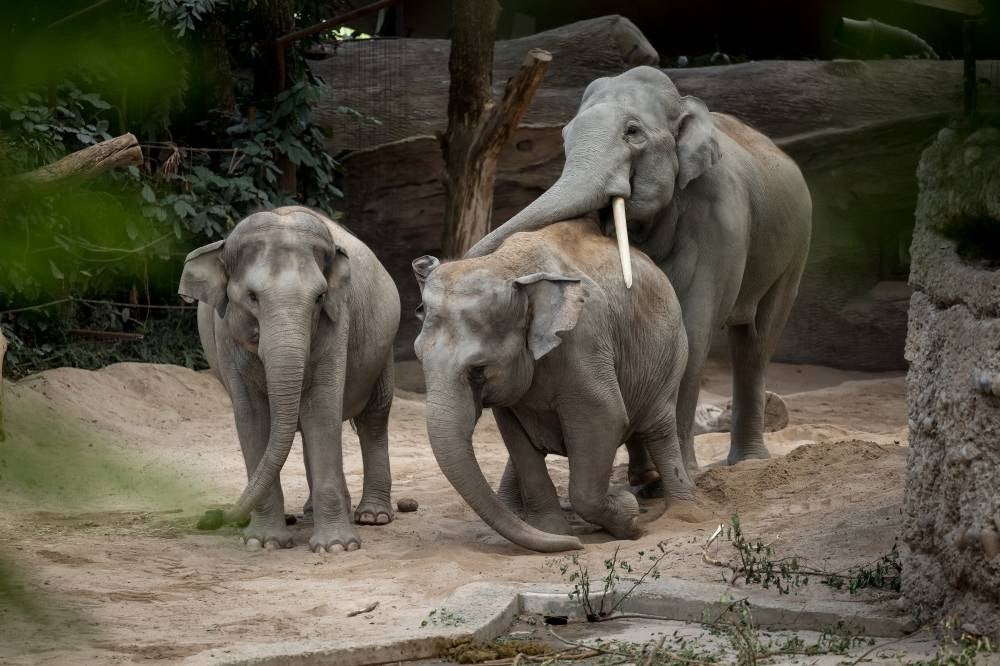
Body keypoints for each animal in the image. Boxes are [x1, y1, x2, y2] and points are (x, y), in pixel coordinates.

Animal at [178, 206, 400, 553]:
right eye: (252, 297)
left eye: (320, 297)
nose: (210, 517)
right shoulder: (225, 333)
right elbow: (252, 418)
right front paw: (264, 543)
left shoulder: (338, 321)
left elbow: (322, 407)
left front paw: (337, 547)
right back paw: (311, 514)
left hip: (384, 349)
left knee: (373, 418)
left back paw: (372, 516)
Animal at [412, 219, 692, 553]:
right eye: (418, 357)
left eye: (477, 371)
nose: (576, 544)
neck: (507, 267)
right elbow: (517, 440)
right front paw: (554, 532)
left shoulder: (584, 341)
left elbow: (605, 417)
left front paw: (628, 518)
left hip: (672, 353)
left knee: (659, 428)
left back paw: (683, 513)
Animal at [467, 66, 812, 472]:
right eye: (565, 136)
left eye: (632, 132)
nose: (427, 264)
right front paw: (644, 478)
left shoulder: (719, 214)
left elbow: (693, 331)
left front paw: (684, 473)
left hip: (795, 251)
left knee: (756, 343)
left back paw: (748, 463)